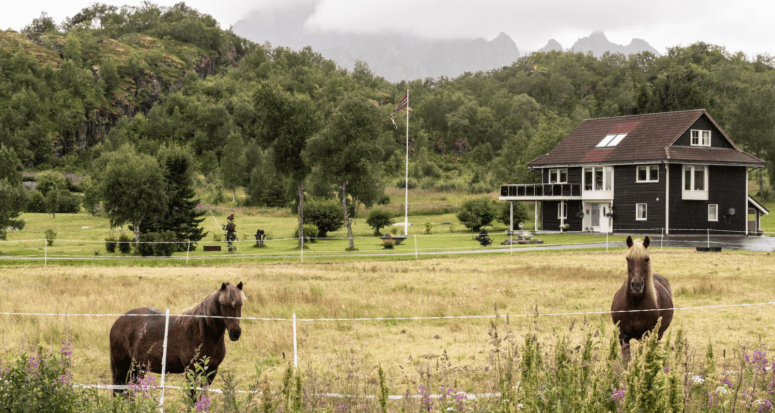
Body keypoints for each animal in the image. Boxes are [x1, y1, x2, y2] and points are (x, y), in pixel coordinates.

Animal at [109, 282, 246, 394]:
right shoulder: (192, 371)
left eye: (240, 304)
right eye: (223, 305)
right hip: (122, 366)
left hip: (138, 368)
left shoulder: (211, 371)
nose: (235, 333)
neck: (201, 333)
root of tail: (118, 322)